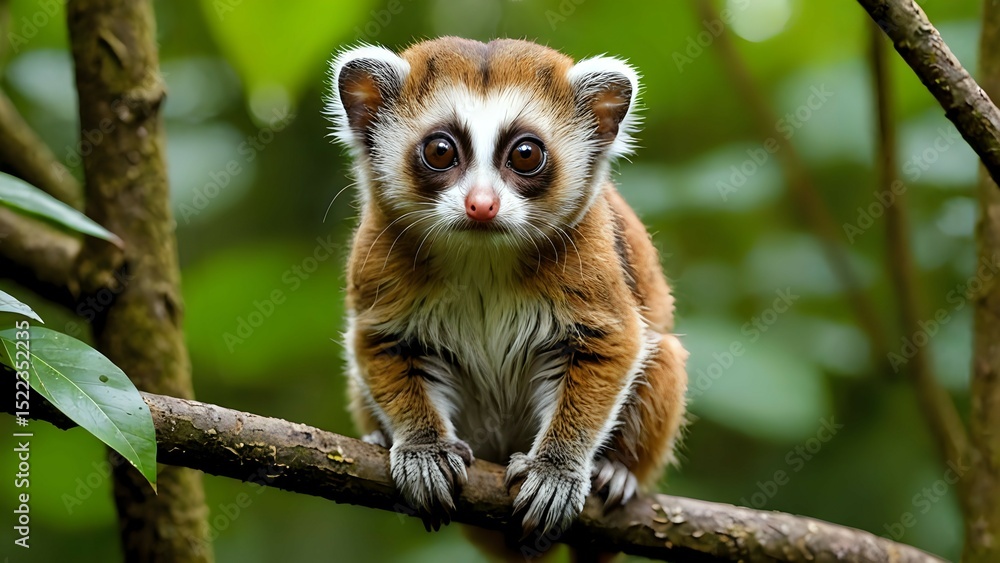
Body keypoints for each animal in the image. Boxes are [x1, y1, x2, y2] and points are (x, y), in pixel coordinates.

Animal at [326, 37, 688, 538]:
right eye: (440, 151)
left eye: (525, 154)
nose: (482, 205)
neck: (483, 257)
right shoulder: (377, 254)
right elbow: (380, 340)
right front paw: (423, 449)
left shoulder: (590, 256)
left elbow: (612, 341)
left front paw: (556, 469)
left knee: (663, 350)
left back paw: (619, 470)